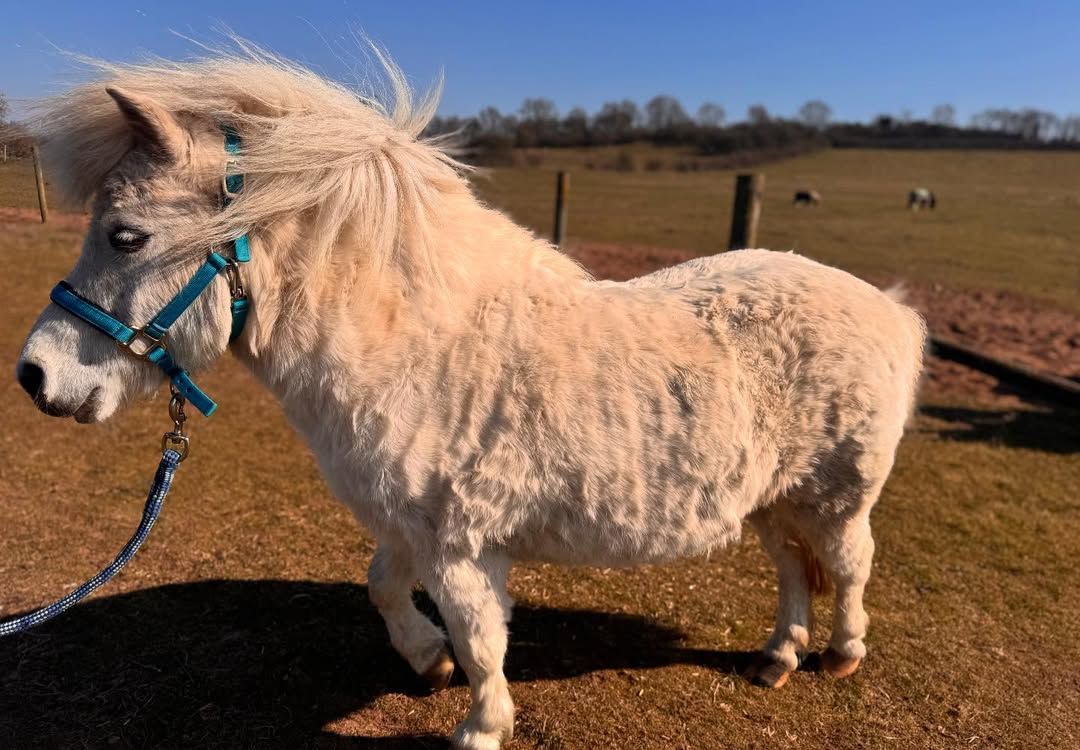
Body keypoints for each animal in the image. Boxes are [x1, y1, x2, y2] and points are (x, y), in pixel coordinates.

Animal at [15, 47, 926, 750]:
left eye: (125, 235)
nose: (34, 376)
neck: (419, 348)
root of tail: (891, 308)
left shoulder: (460, 544)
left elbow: (483, 639)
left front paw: (481, 725)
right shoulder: (407, 524)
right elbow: (387, 591)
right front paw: (427, 662)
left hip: (837, 495)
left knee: (850, 565)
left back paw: (840, 653)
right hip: (773, 497)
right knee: (794, 570)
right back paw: (778, 656)